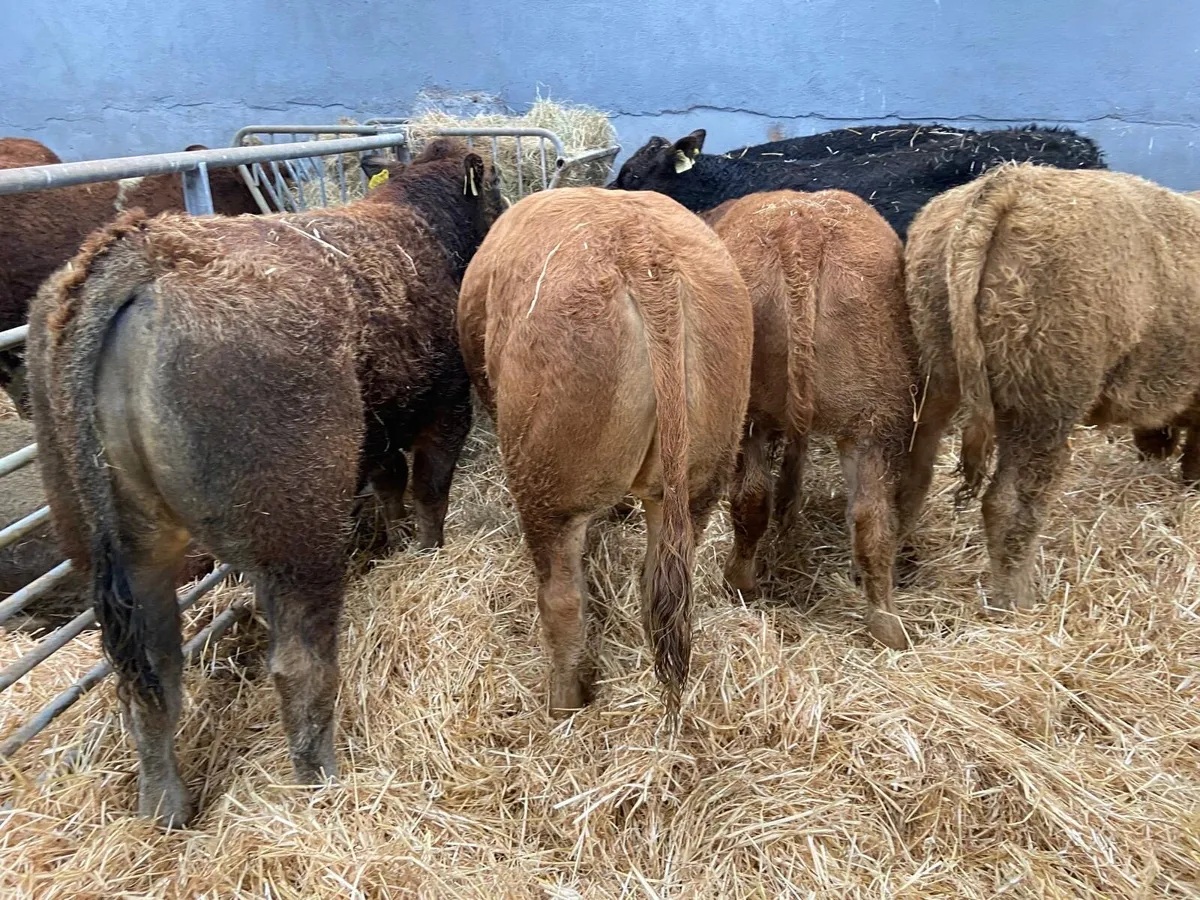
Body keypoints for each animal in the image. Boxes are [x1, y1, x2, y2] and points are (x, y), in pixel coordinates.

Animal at [457, 187, 753, 714]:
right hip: (697, 480)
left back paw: (563, 707)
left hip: (550, 488)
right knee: (659, 584)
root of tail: (644, 255)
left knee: (563, 601)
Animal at [904, 163, 1200, 613]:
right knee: (1010, 504)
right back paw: (1019, 603)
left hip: (939, 380)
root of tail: (1011, 184)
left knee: (912, 475)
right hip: (1042, 411)